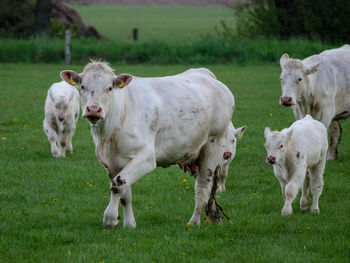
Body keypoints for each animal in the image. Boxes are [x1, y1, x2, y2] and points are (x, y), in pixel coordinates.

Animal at [60, 62, 235, 229]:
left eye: (109, 88)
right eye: (83, 86)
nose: (93, 109)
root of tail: (209, 76)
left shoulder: (146, 158)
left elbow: (117, 185)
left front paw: (110, 219)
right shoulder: (113, 163)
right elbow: (125, 192)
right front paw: (129, 224)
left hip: (213, 145)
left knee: (203, 187)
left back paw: (194, 222)